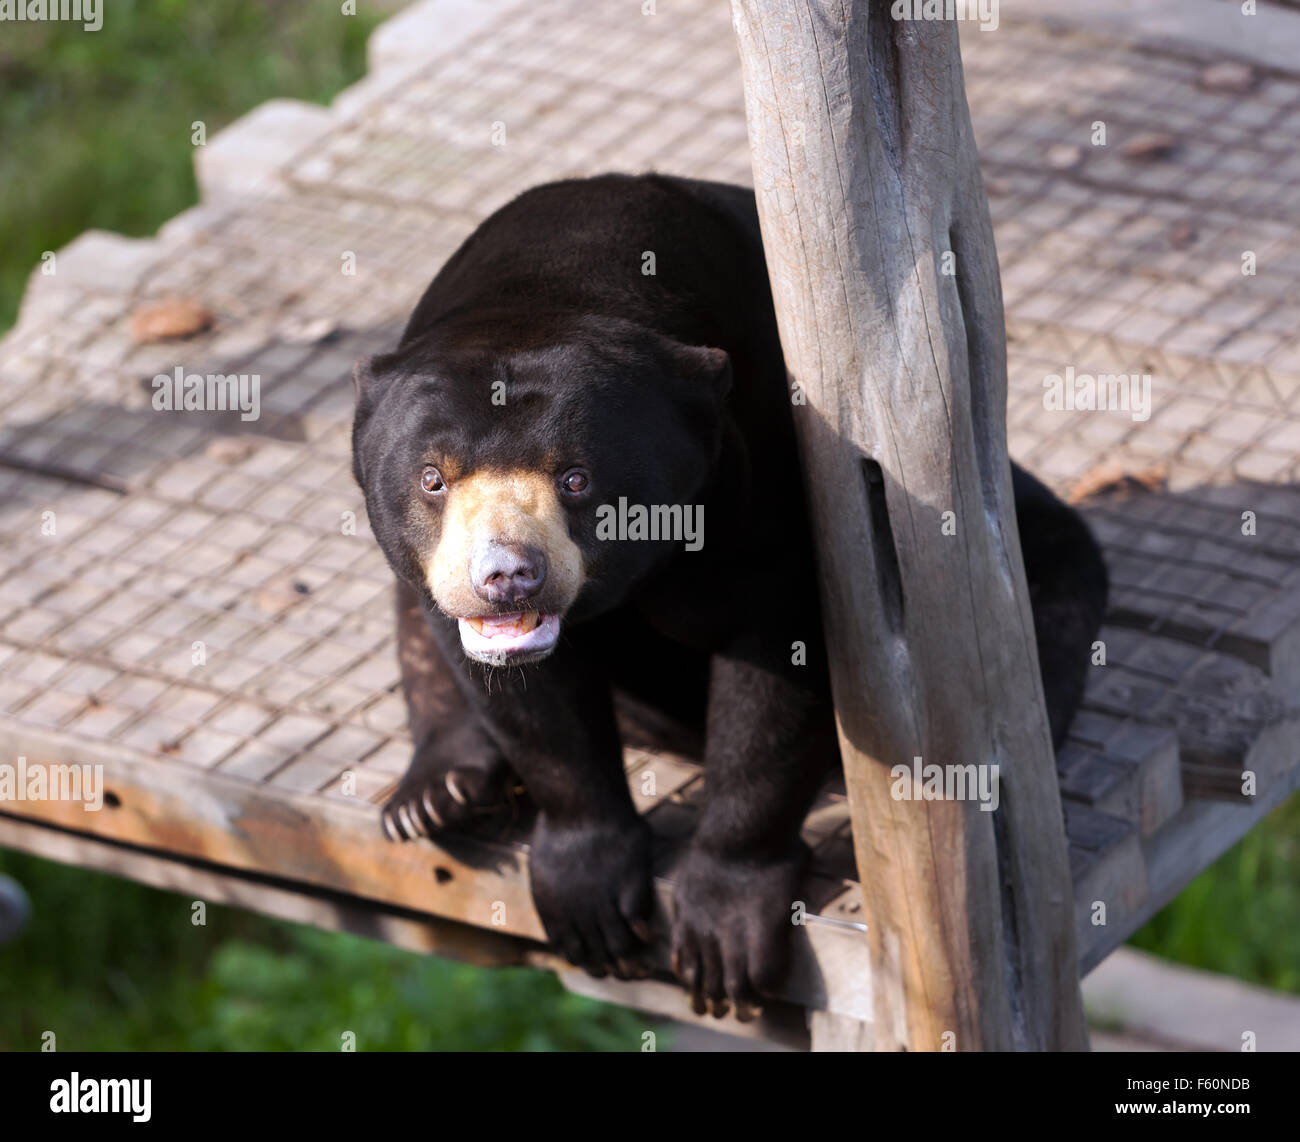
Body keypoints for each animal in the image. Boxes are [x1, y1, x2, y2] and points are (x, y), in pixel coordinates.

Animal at [348, 171, 1107, 1019]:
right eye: (433, 478)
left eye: (575, 479)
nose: (507, 576)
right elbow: (534, 709)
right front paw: (589, 901)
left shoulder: (764, 480)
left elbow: (778, 662)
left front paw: (723, 936)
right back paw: (435, 793)